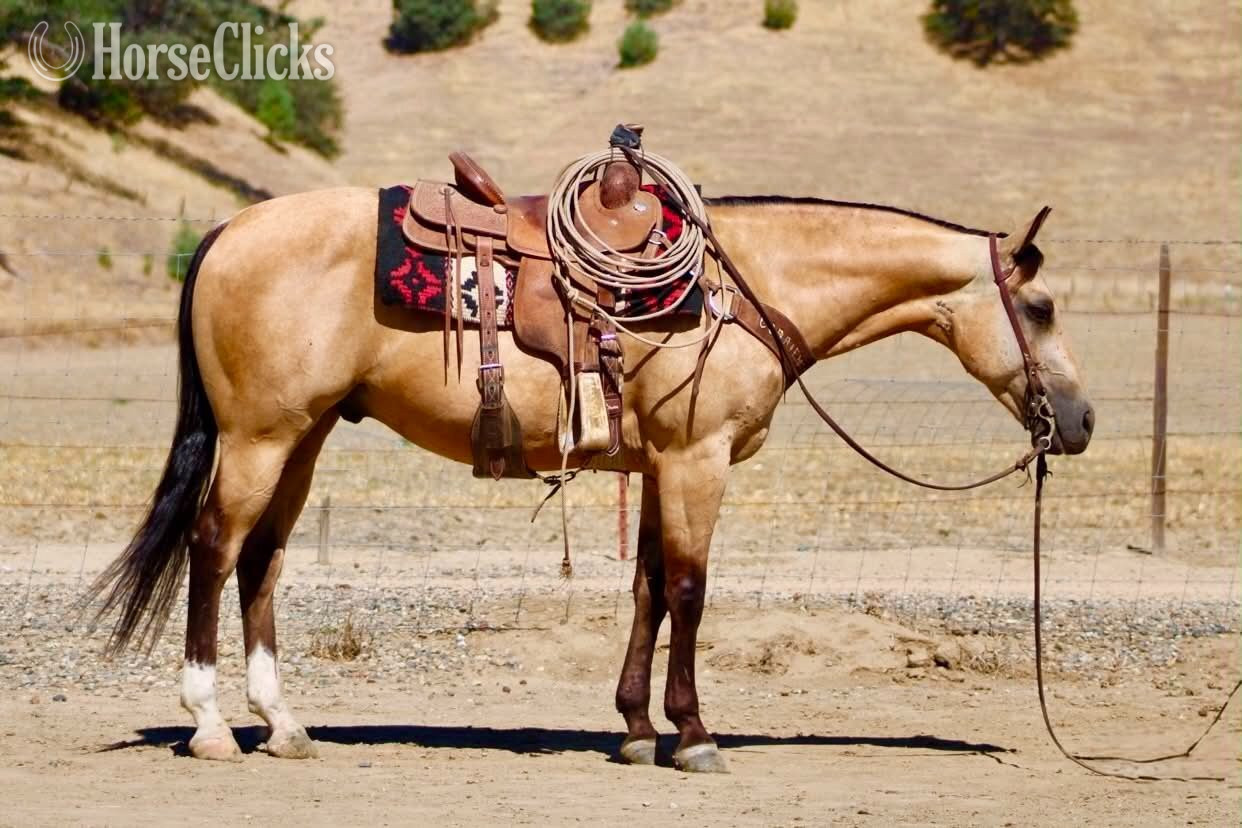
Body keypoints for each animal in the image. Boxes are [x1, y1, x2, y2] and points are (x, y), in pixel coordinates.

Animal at [89, 186, 1094, 772]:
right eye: (1042, 307)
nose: (1080, 423)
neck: (744, 290)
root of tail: (229, 229)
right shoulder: (697, 459)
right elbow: (688, 590)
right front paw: (694, 736)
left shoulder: (658, 465)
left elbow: (647, 587)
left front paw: (638, 729)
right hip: (258, 436)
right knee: (214, 548)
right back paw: (211, 727)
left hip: (303, 436)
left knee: (263, 559)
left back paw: (285, 725)